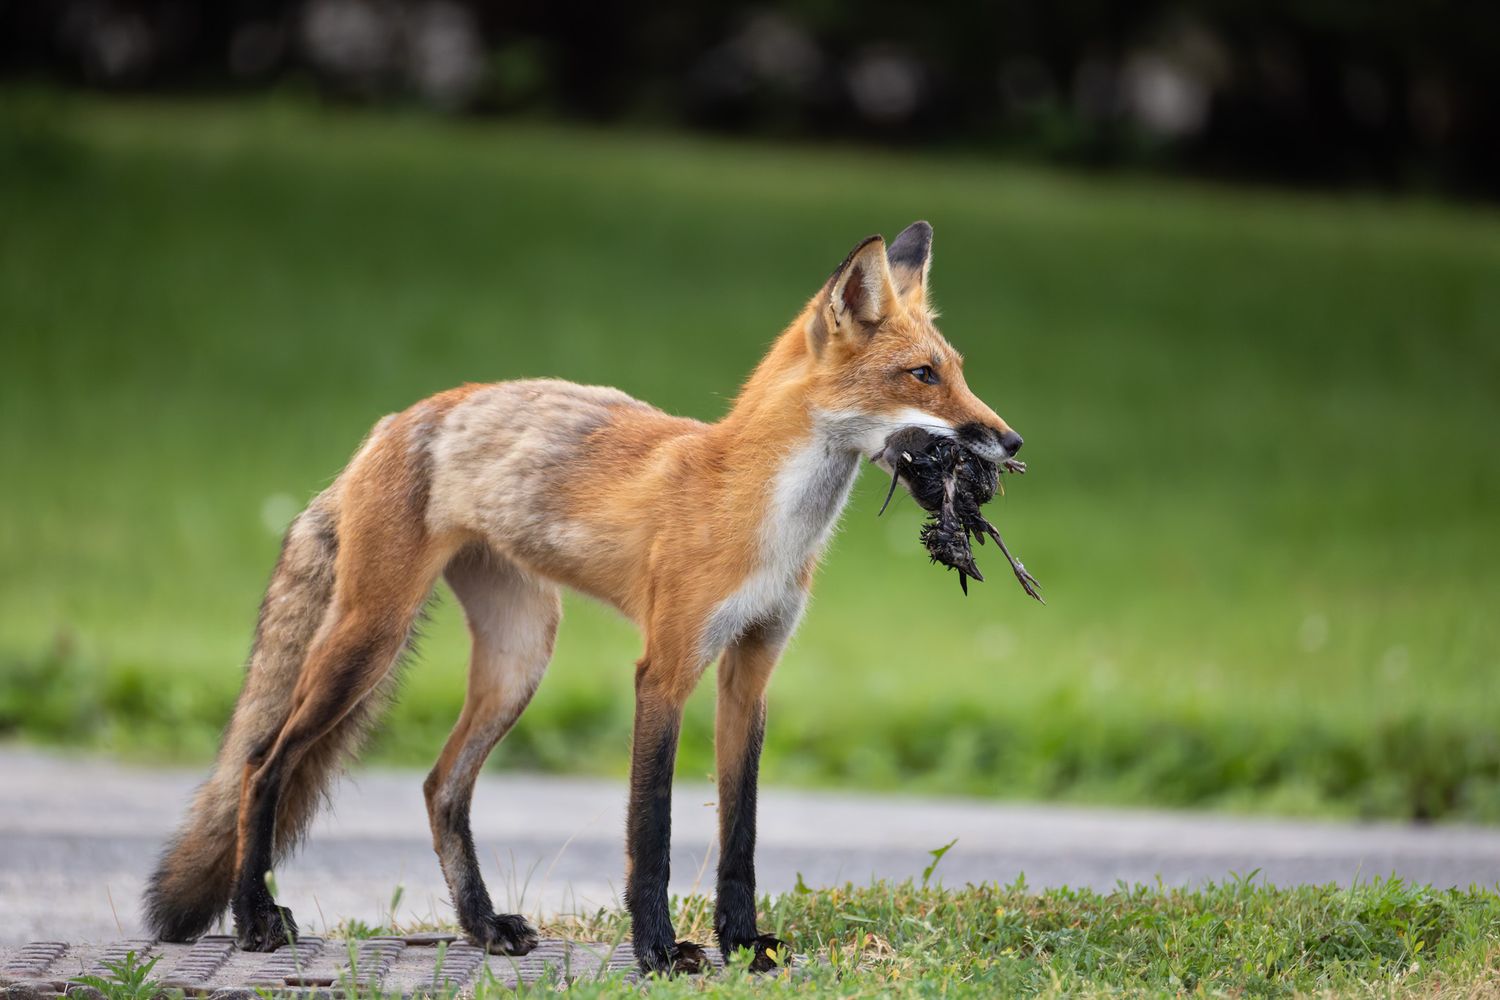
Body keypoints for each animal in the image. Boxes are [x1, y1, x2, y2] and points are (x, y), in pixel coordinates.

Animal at [143, 221, 1023, 974]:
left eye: (959, 371)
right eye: (922, 376)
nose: (1011, 442)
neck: (759, 513)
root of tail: (396, 420)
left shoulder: (751, 670)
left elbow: (740, 835)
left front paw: (742, 945)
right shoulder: (665, 668)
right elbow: (653, 829)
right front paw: (659, 951)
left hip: (519, 659)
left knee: (439, 787)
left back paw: (482, 925)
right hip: (369, 640)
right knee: (263, 763)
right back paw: (257, 917)